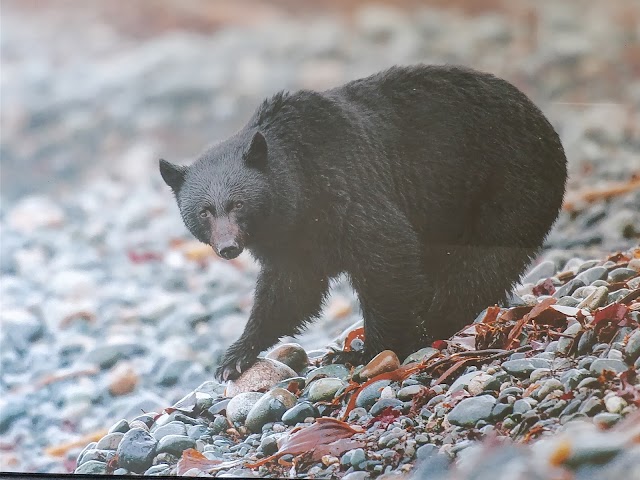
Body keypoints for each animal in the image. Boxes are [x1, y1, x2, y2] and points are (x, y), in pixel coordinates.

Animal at [159, 63, 564, 380]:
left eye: (238, 204)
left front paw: (368, 350)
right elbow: (291, 291)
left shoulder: (345, 185)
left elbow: (387, 254)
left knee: (479, 264)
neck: (298, 190)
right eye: (204, 211)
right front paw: (237, 355)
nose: (228, 247)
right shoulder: (293, 241)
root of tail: (545, 125)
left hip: (507, 184)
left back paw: (437, 322)